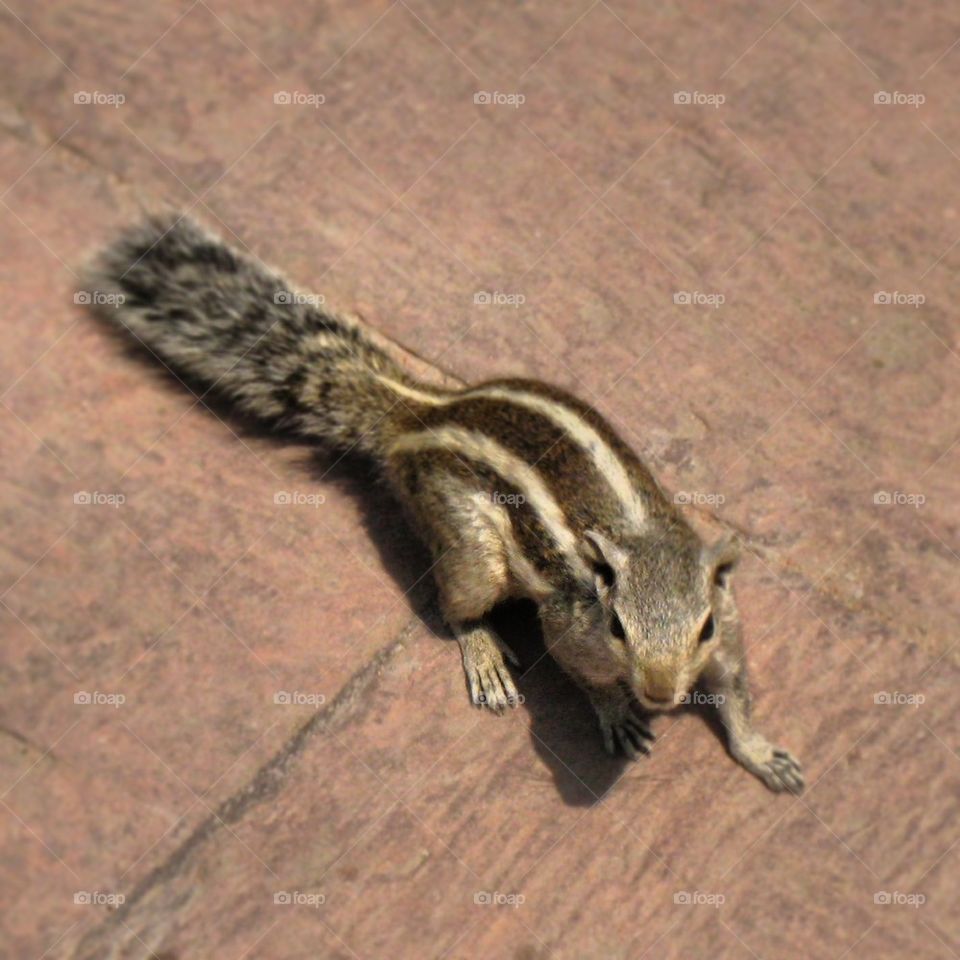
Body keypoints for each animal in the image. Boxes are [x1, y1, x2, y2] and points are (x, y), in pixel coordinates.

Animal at [86, 213, 803, 794]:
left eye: (701, 627)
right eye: (617, 626)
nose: (657, 694)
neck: (641, 535)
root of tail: (420, 414)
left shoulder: (731, 630)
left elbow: (737, 692)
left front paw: (761, 752)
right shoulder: (571, 629)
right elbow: (584, 674)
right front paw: (617, 713)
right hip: (470, 546)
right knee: (453, 601)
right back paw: (482, 653)